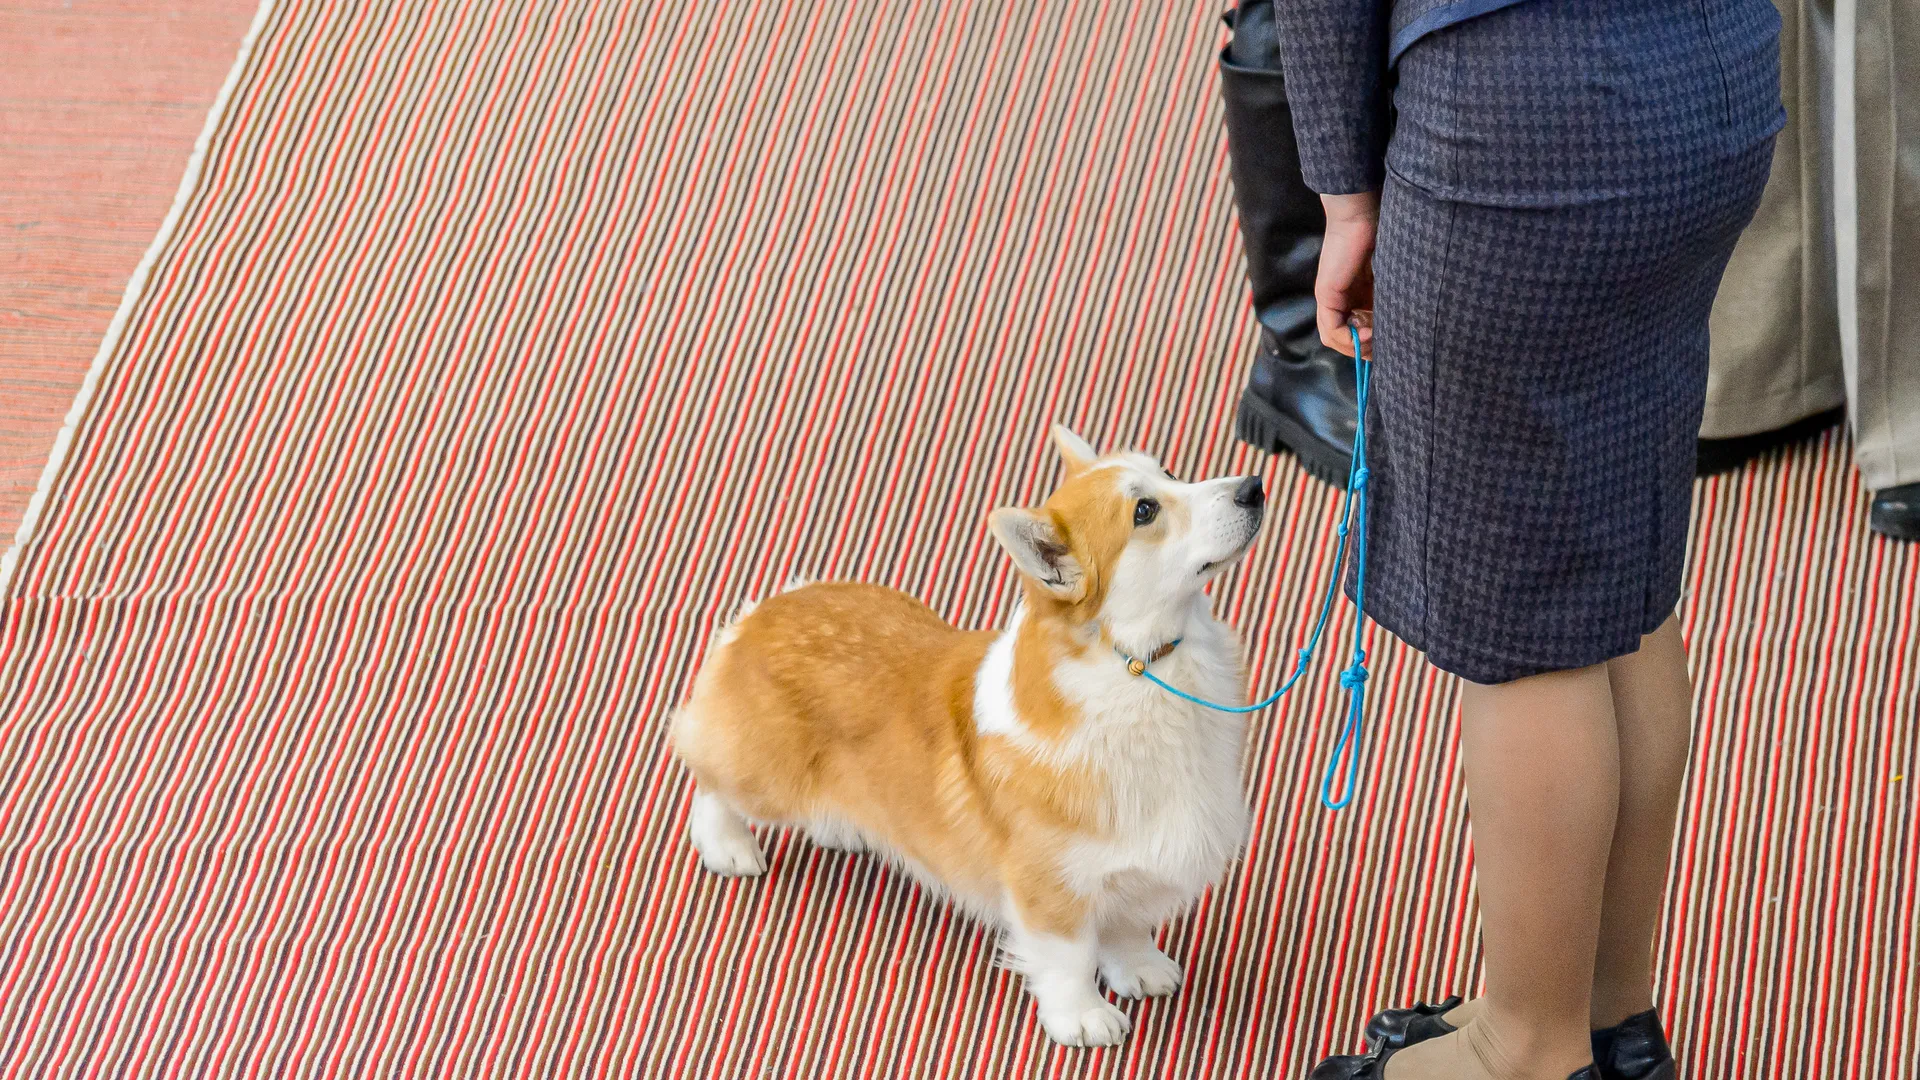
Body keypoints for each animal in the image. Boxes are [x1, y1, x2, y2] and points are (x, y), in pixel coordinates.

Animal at [668, 422, 1267, 1045]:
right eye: (1144, 511)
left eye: (1170, 474)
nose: (1254, 487)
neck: (1144, 669)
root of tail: (758, 615)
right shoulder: (1048, 885)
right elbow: (1070, 957)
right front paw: (1083, 1018)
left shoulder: (1131, 864)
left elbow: (1129, 926)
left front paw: (1143, 970)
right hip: (764, 776)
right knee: (708, 779)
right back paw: (729, 846)